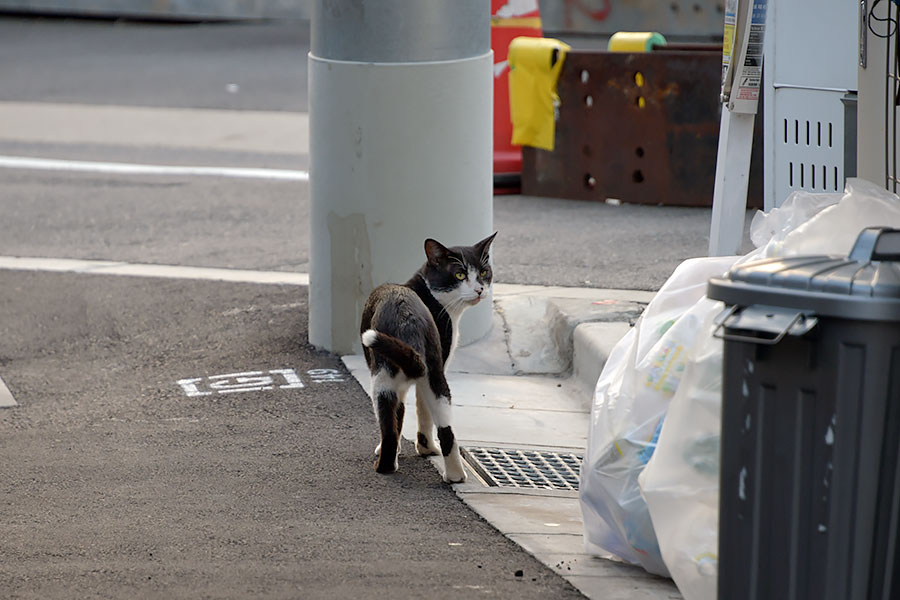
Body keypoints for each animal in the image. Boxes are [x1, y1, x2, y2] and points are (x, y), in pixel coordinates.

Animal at [360, 232, 500, 486]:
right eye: (460, 274)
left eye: (484, 272)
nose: (479, 289)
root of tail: (406, 317)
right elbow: (420, 410)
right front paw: (426, 449)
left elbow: (403, 415)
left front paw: (413, 449)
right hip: (432, 373)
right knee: (446, 428)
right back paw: (455, 476)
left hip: (385, 374)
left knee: (390, 425)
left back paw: (386, 465)